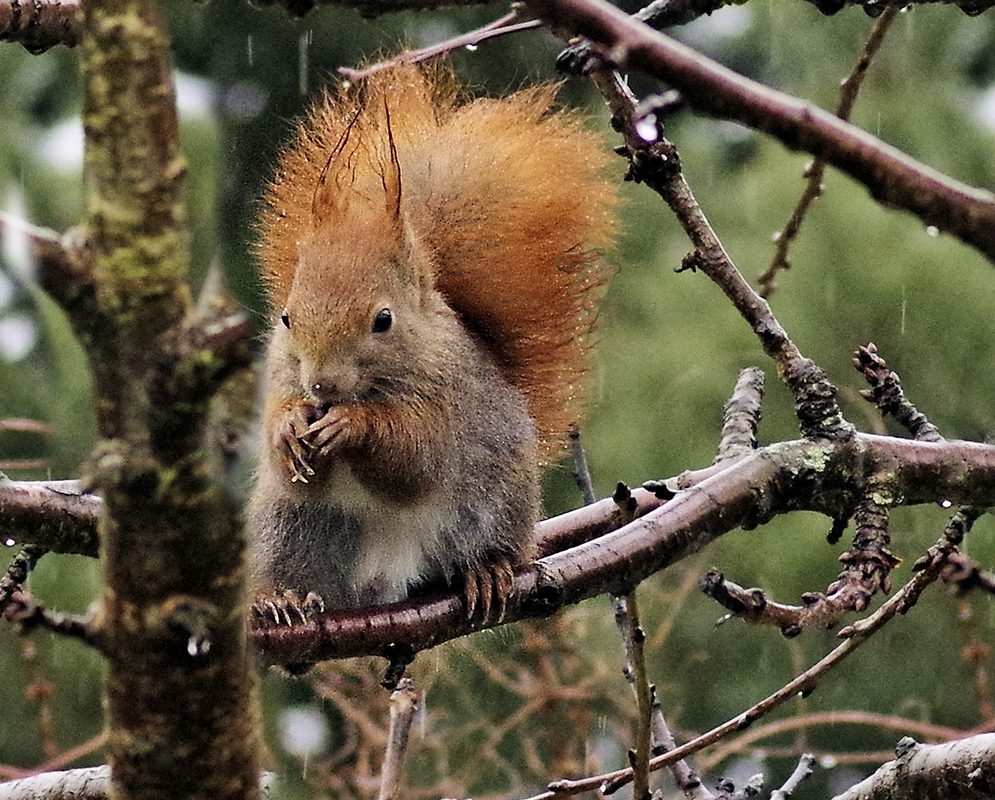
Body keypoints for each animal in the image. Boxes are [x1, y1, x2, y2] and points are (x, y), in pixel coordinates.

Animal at [248, 64, 620, 624]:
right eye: (287, 318)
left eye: (383, 320)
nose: (320, 385)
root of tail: (386, 576)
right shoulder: (280, 380)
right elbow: (283, 447)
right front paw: (289, 426)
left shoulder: (448, 403)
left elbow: (414, 459)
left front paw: (351, 425)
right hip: (290, 526)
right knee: (294, 564)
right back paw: (283, 599)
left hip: (493, 508)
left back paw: (485, 572)